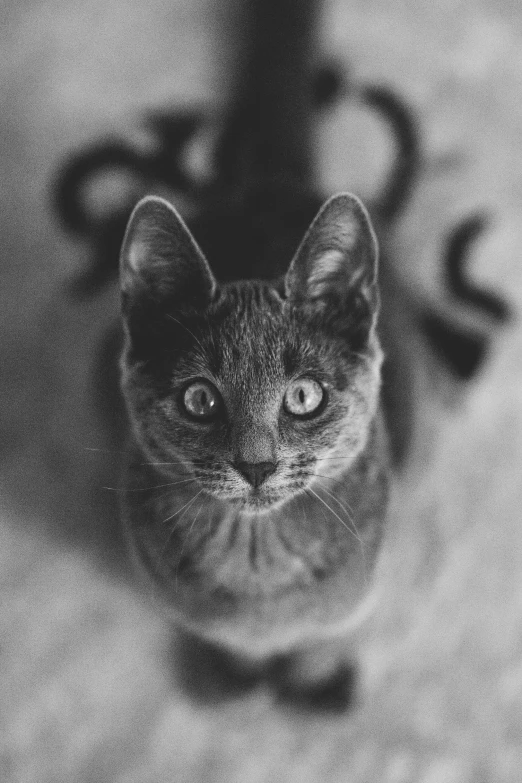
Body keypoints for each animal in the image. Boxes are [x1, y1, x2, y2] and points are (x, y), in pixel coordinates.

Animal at [118, 191, 386, 712]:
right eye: (200, 399)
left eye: (304, 395)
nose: (256, 464)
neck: (256, 553)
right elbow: (231, 638)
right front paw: (238, 676)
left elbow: (321, 636)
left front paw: (312, 682)